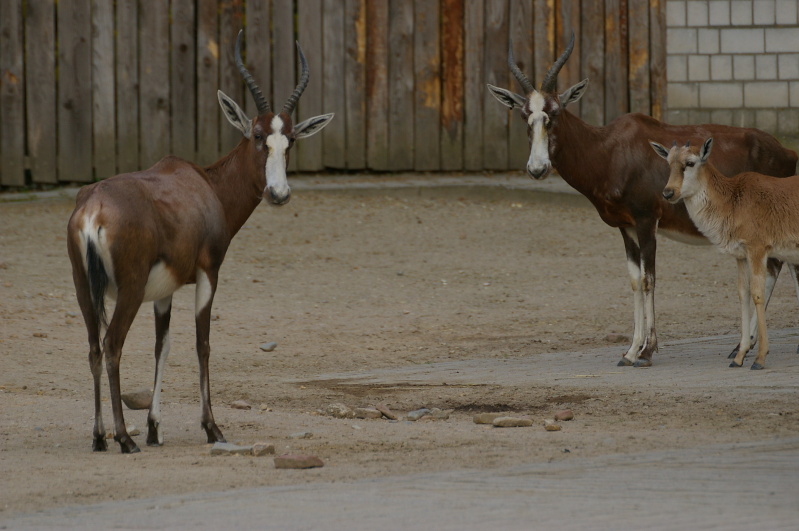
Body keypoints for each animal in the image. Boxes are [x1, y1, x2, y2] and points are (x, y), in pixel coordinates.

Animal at [65, 30, 334, 454]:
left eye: (289, 140)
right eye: (257, 136)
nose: (278, 194)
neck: (206, 186)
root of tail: (94, 208)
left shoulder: (163, 291)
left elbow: (163, 346)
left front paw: (156, 428)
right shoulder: (209, 274)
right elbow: (202, 344)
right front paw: (212, 427)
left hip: (83, 289)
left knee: (93, 347)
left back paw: (99, 437)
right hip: (128, 291)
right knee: (112, 346)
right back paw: (124, 438)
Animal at [652, 137, 799, 370]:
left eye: (690, 163)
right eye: (669, 162)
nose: (668, 193)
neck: (733, 200)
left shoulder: (757, 250)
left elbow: (757, 294)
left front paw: (759, 358)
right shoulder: (740, 256)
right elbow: (743, 294)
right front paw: (739, 356)